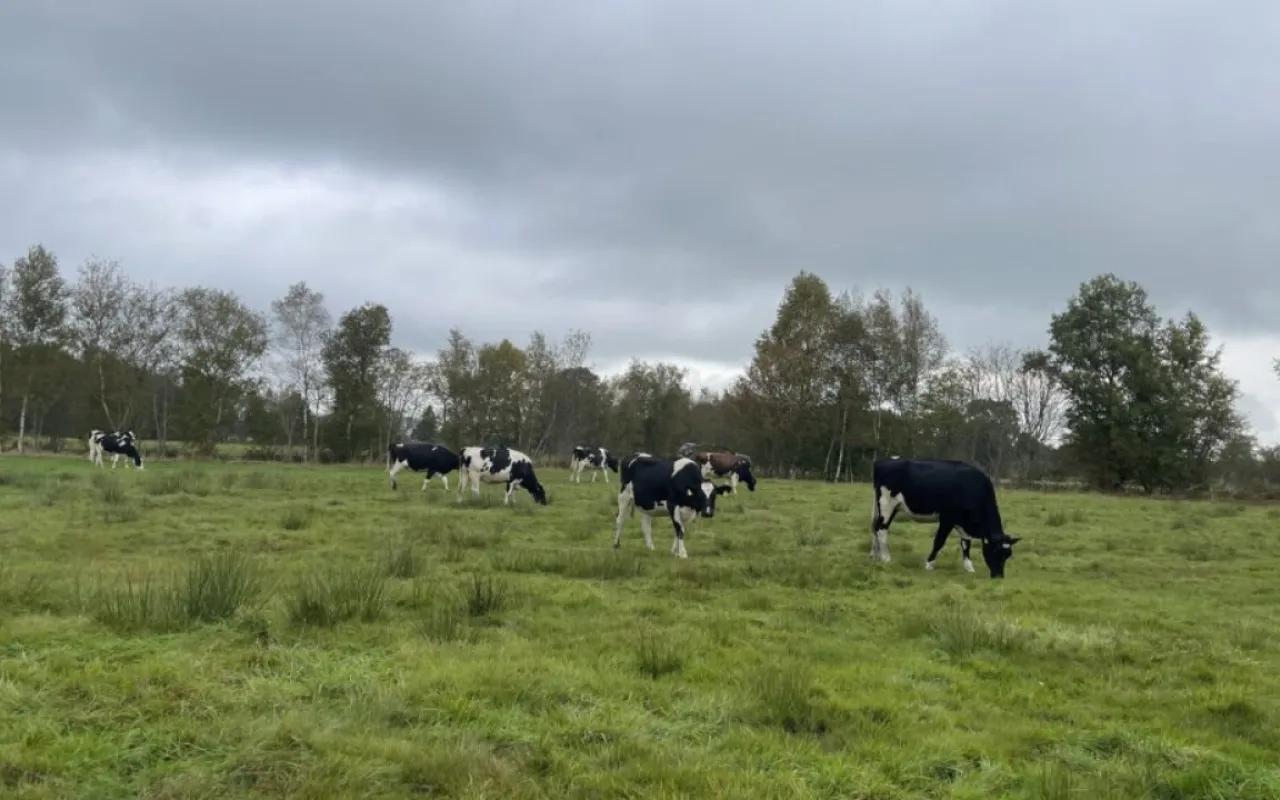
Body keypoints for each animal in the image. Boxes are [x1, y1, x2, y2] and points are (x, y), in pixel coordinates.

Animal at [870, 458, 1018, 576]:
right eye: (995, 551)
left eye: (1008, 555)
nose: (998, 576)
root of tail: (882, 462)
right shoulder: (948, 518)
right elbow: (939, 541)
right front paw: (929, 564)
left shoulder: (962, 522)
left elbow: (966, 544)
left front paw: (969, 567)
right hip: (887, 504)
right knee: (881, 529)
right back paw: (886, 559)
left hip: (887, 507)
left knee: (875, 528)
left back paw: (875, 556)